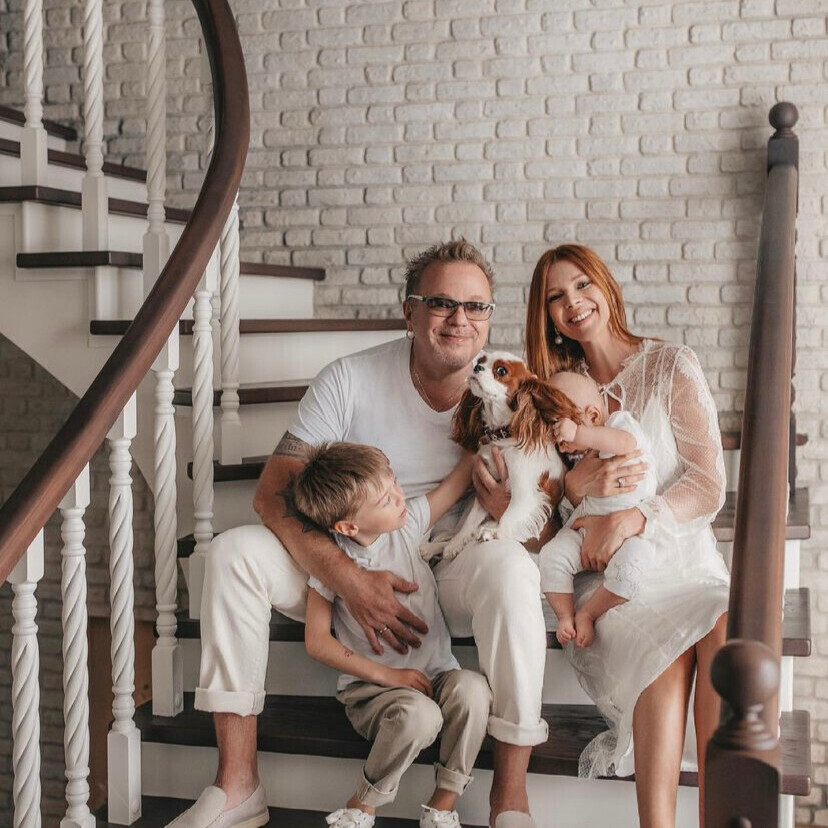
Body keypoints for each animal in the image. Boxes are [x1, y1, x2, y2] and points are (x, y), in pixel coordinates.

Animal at [441, 351, 570, 560]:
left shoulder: (525, 492)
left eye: (501, 371)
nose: (476, 367)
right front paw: (455, 542)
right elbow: (470, 521)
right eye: (481, 361)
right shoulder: (486, 487)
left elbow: (510, 514)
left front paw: (496, 532)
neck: (502, 438)